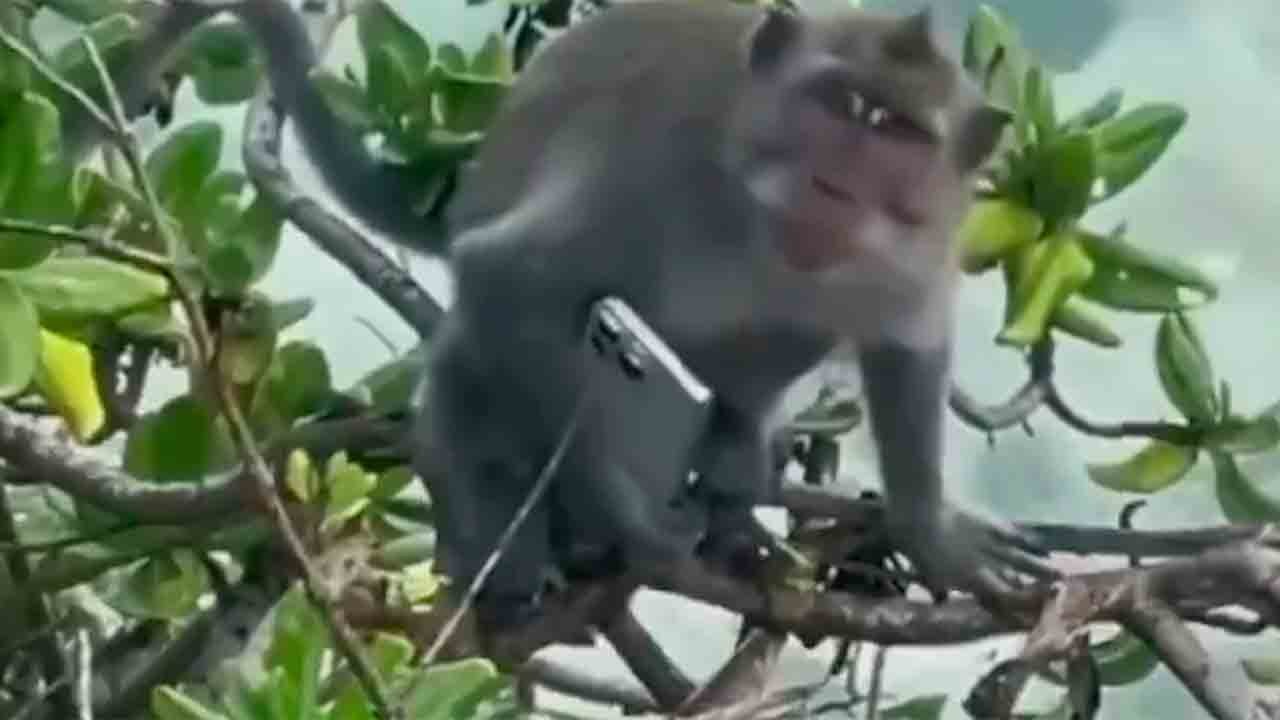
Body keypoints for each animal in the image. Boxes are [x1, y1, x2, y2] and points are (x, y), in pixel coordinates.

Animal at [228, 0, 1060, 634]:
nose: (835, 187)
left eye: (901, 133)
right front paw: (630, 523)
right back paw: (508, 548)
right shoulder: (654, 175)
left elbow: (909, 347)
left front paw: (932, 531)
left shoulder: (924, 244)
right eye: (840, 103)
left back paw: (734, 464)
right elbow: (512, 281)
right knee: (477, 361)